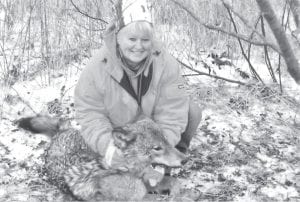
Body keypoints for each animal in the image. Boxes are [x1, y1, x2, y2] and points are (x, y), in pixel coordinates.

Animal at [17, 115, 186, 200]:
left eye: (167, 141)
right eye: (157, 148)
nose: (185, 159)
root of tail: (62, 132)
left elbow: (175, 182)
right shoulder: (138, 193)